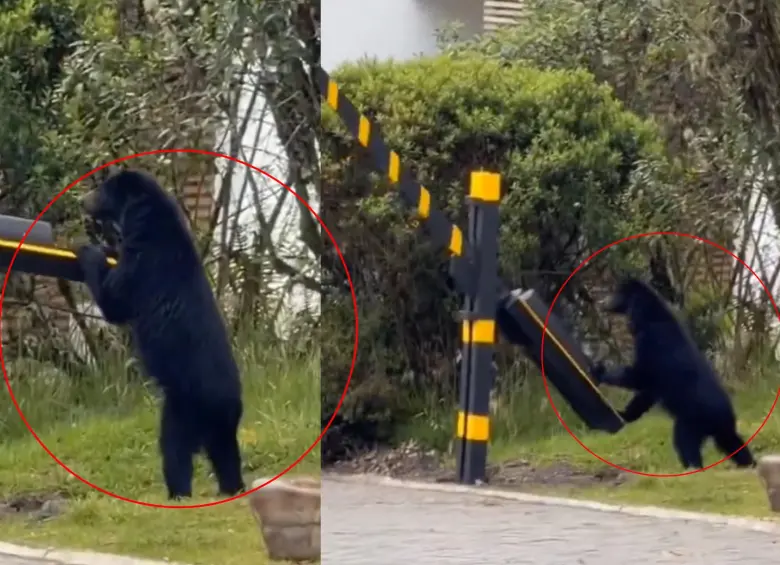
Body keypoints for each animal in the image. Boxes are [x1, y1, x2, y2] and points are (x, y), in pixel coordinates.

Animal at [76, 169, 245, 499]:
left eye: (101, 190)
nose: (82, 200)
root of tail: (227, 402)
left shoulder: (144, 261)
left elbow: (114, 300)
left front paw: (90, 251)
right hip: (220, 425)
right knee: (226, 456)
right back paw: (231, 489)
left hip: (182, 408)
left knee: (174, 450)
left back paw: (178, 492)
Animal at [592, 277, 755, 470]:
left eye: (615, 292)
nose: (601, 302)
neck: (646, 318)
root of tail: (725, 414)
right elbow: (646, 394)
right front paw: (625, 414)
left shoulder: (652, 344)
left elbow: (639, 376)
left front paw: (600, 371)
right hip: (721, 429)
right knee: (733, 444)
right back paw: (749, 464)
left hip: (692, 420)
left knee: (685, 442)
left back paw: (692, 468)